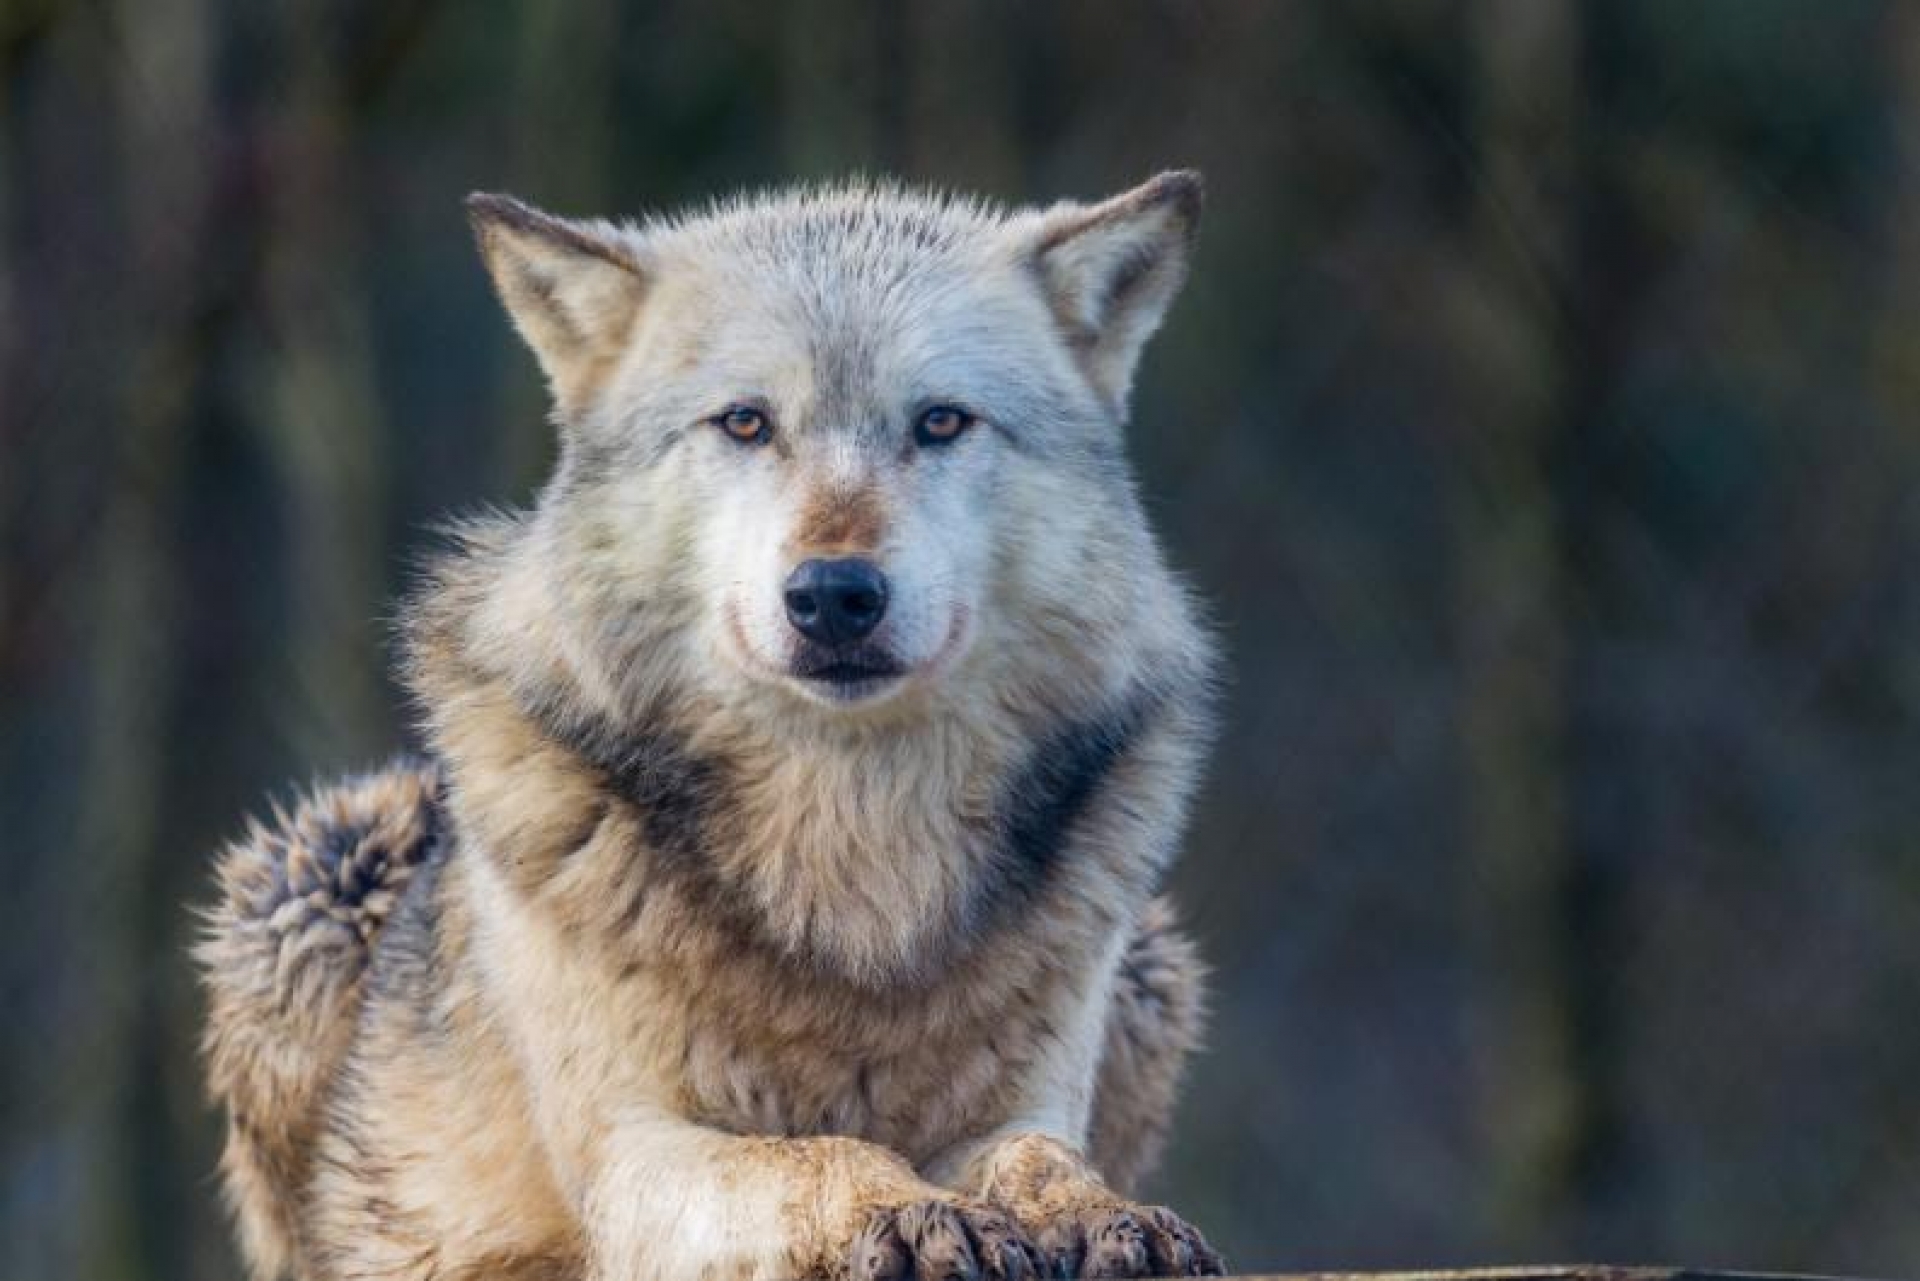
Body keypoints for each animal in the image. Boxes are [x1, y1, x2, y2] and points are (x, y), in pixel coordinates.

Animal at [198, 172, 1223, 1281]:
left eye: (942, 422)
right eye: (744, 422)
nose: (833, 595)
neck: (853, 854)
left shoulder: (1028, 1101)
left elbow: (1041, 1156)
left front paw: (1103, 1214)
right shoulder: (634, 1153)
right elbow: (808, 1152)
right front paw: (903, 1208)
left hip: (1156, 962)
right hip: (314, 869)